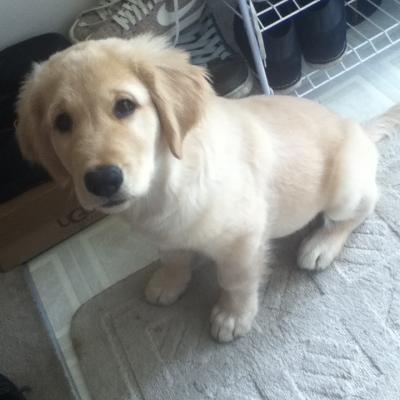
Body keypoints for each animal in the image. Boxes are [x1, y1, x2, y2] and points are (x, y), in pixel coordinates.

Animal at [15, 35, 399, 342]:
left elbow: (234, 280)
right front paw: (169, 282)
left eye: (124, 106)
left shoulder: (242, 239)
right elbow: (173, 256)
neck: (164, 181)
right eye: (62, 122)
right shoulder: (163, 235)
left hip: (346, 189)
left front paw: (232, 315)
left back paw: (321, 244)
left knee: (361, 208)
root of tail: (360, 129)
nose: (102, 180)